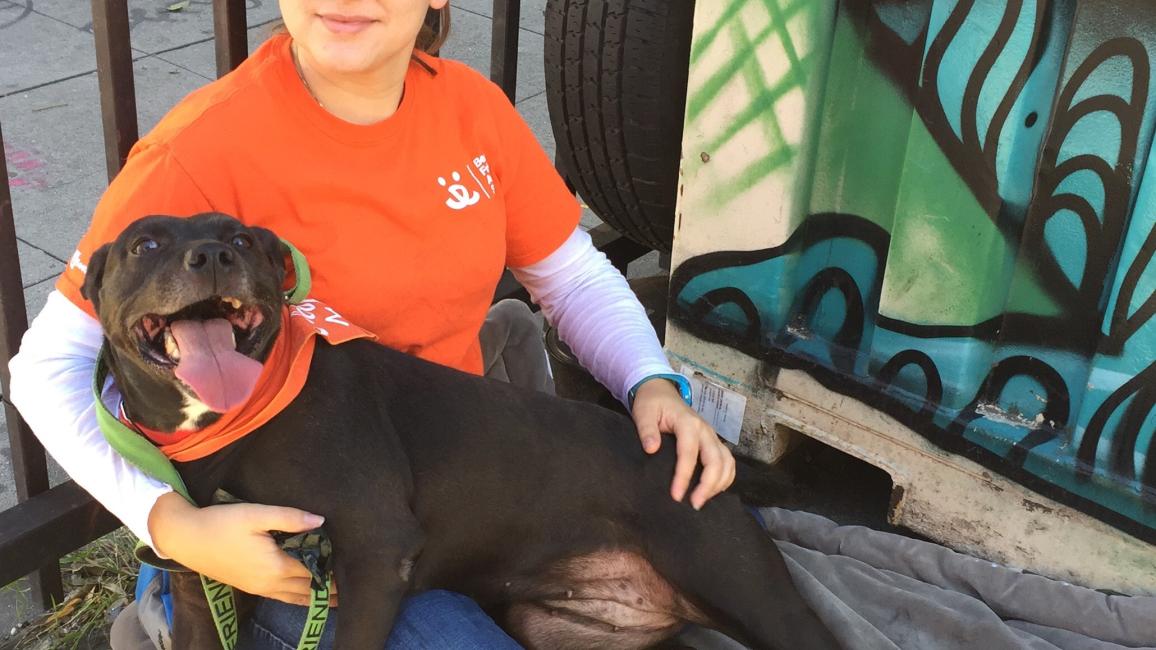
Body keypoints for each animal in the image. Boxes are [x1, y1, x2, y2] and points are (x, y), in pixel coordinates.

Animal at [83, 213, 841, 647]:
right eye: (144, 244)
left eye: (243, 239)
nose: (214, 257)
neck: (232, 424)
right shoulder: (200, 582)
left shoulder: (373, 556)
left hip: (751, 593)